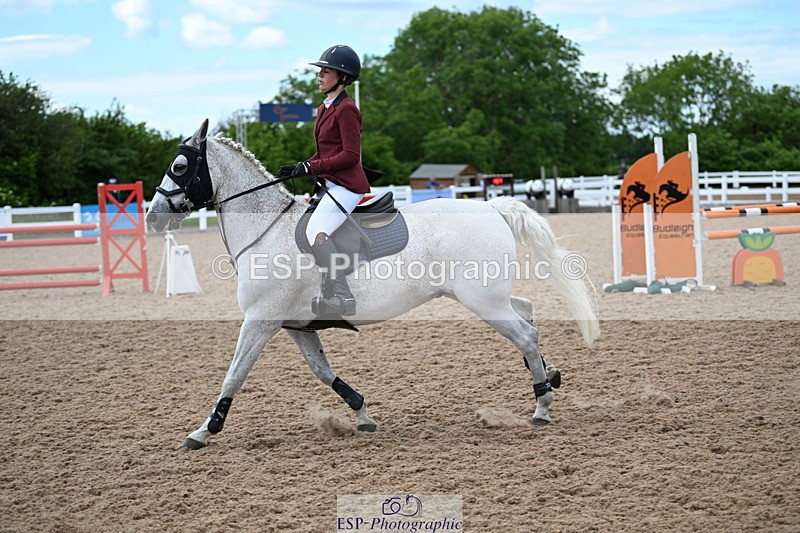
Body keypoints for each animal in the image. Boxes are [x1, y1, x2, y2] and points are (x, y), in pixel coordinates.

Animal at [146, 119, 600, 450]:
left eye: (180, 167)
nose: (152, 217)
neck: (266, 229)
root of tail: (490, 207)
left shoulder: (260, 321)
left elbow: (233, 376)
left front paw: (203, 431)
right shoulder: (295, 326)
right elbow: (322, 372)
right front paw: (362, 414)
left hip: (482, 300)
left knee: (524, 333)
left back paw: (542, 405)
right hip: (488, 296)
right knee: (527, 313)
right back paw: (550, 375)